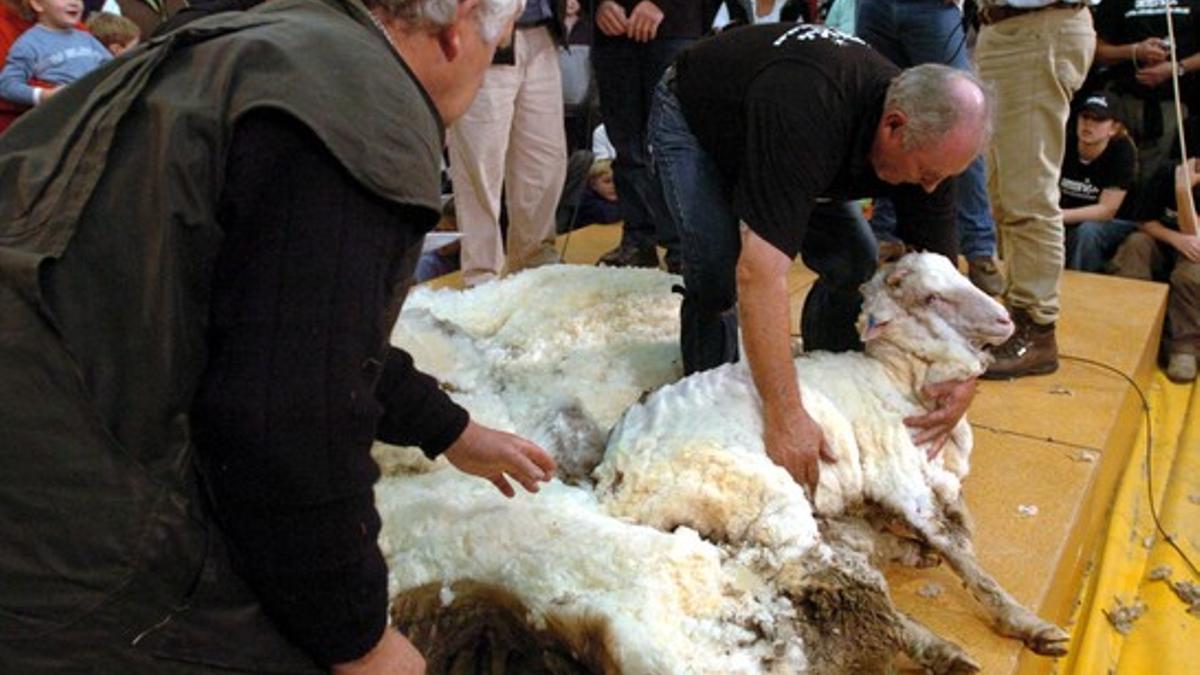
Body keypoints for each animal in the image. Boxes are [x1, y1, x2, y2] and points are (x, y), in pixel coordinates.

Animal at [597, 251, 1070, 662]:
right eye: (931, 298)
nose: (1005, 319)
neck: (900, 382)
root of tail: (614, 476)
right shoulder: (901, 479)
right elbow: (956, 548)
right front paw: (1028, 623)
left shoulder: (939, 479)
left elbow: (962, 531)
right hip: (769, 499)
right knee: (835, 579)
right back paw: (941, 650)